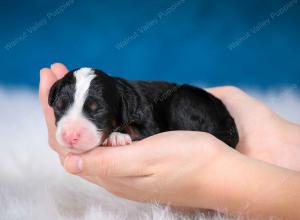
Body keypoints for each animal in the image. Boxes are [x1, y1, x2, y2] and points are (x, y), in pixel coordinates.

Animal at [49, 68, 239, 154]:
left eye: (98, 109)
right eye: (59, 105)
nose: (69, 135)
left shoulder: (150, 124)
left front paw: (116, 137)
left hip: (183, 100)